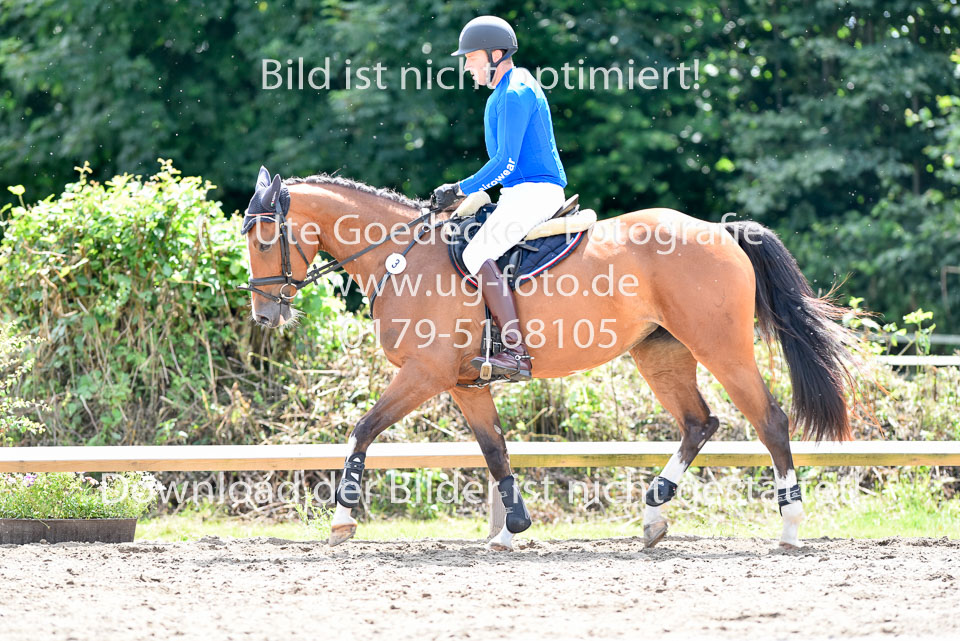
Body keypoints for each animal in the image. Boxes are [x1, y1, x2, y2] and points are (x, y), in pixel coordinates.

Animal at [240, 166, 857, 551]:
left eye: (266, 238)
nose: (265, 315)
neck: (401, 256)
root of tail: (722, 230)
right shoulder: (464, 383)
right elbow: (494, 450)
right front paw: (511, 528)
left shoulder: (425, 374)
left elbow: (362, 430)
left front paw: (342, 519)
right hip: (660, 353)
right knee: (698, 423)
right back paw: (654, 515)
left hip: (721, 347)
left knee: (769, 420)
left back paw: (789, 526)